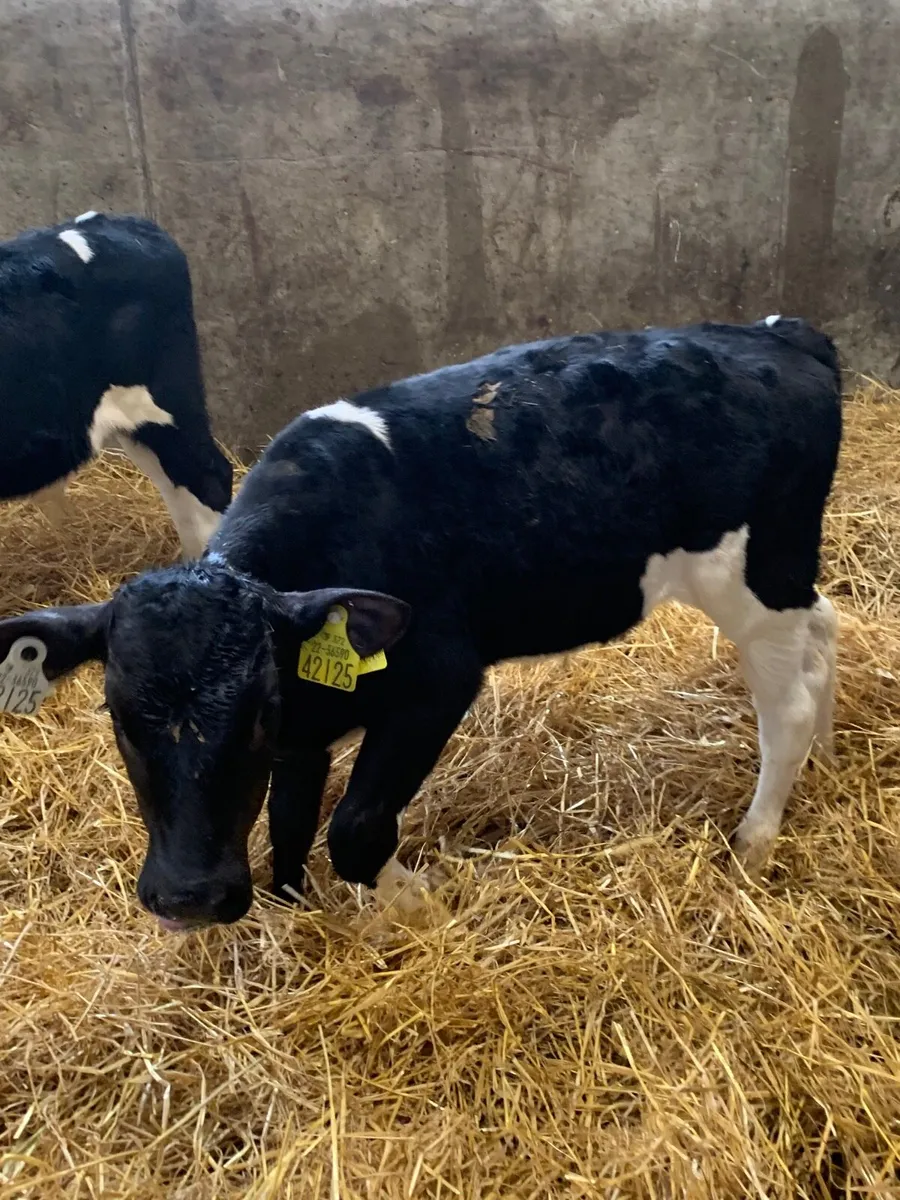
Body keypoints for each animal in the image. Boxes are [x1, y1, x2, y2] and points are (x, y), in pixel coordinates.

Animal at [0, 317, 841, 931]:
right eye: (117, 716)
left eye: (254, 717)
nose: (189, 899)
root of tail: (778, 333)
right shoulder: (310, 724)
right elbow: (287, 828)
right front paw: (300, 914)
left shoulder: (436, 682)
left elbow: (353, 831)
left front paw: (419, 903)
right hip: (784, 574)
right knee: (827, 629)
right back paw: (827, 753)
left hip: (754, 577)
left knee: (787, 706)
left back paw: (754, 842)